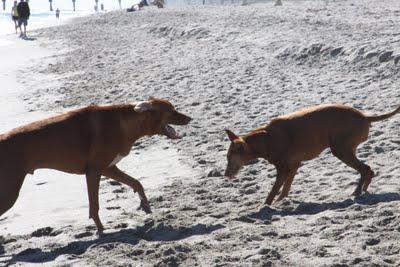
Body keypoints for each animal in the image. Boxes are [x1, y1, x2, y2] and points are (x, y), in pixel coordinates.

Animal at [0, 97, 191, 233]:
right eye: (172, 110)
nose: (190, 118)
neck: (125, 123)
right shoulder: (93, 171)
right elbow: (95, 206)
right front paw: (101, 229)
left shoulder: (108, 168)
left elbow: (136, 182)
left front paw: (145, 204)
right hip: (9, 193)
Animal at [225, 104, 400, 205]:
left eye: (229, 157)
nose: (225, 175)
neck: (266, 138)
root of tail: (364, 116)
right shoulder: (294, 165)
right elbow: (285, 188)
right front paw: (282, 201)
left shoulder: (283, 169)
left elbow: (273, 192)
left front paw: (265, 206)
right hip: (345, 149)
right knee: (368, 170)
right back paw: (364, 189)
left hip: (340, 149)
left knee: (366, 168)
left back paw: (357, 191)